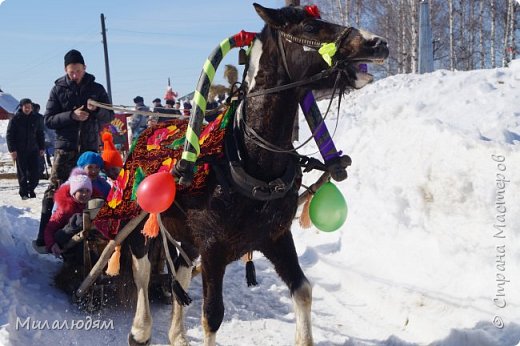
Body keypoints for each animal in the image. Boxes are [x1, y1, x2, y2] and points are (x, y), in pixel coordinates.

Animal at [126, 3, 386, 346]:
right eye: (311, 28)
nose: (378, 43)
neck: (249, 157)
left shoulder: (276, 237)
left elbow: (303, 291)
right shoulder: (213, 248)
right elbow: (212, 315)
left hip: (186, 236)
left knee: (179, 271)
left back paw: (177, 334)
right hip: (139, 223)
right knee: (141, 271)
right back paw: (140, 329)